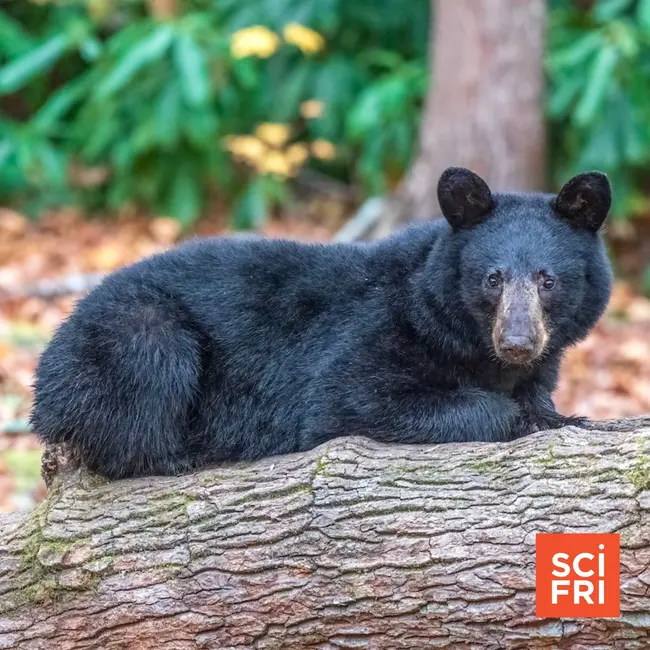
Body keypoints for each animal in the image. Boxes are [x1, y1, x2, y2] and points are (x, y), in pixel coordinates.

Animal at [30, 167, 613, 480]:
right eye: (493, 278)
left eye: (547, 279)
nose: (517, 342)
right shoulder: (375, 328)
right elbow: (349, 396)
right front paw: (523, 418)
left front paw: (557, 413)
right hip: (130, 332)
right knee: (147, 381)